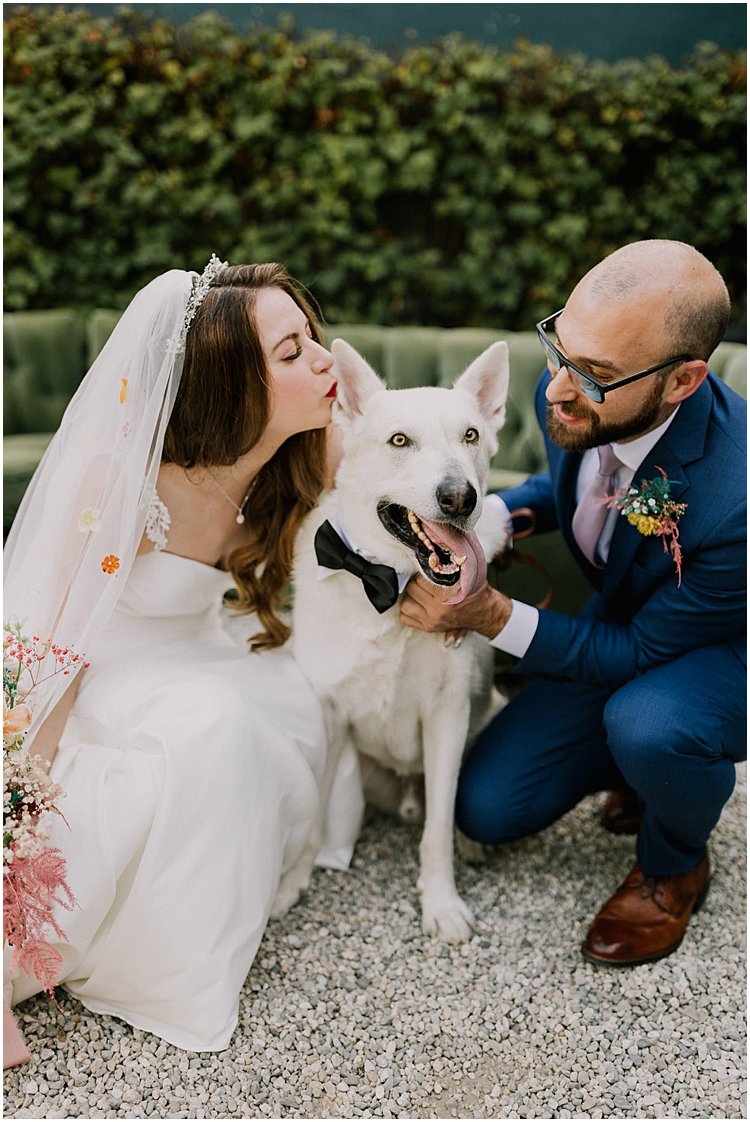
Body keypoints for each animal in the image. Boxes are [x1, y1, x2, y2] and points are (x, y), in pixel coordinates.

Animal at [284, 336, 511, 942]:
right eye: (400, 440)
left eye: (471, 435)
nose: (460, 497)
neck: (390, 586)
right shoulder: (328, 712)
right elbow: (313, 811)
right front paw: (293, 881)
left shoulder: (449, 718)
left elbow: (438, 827)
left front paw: (442, 902)